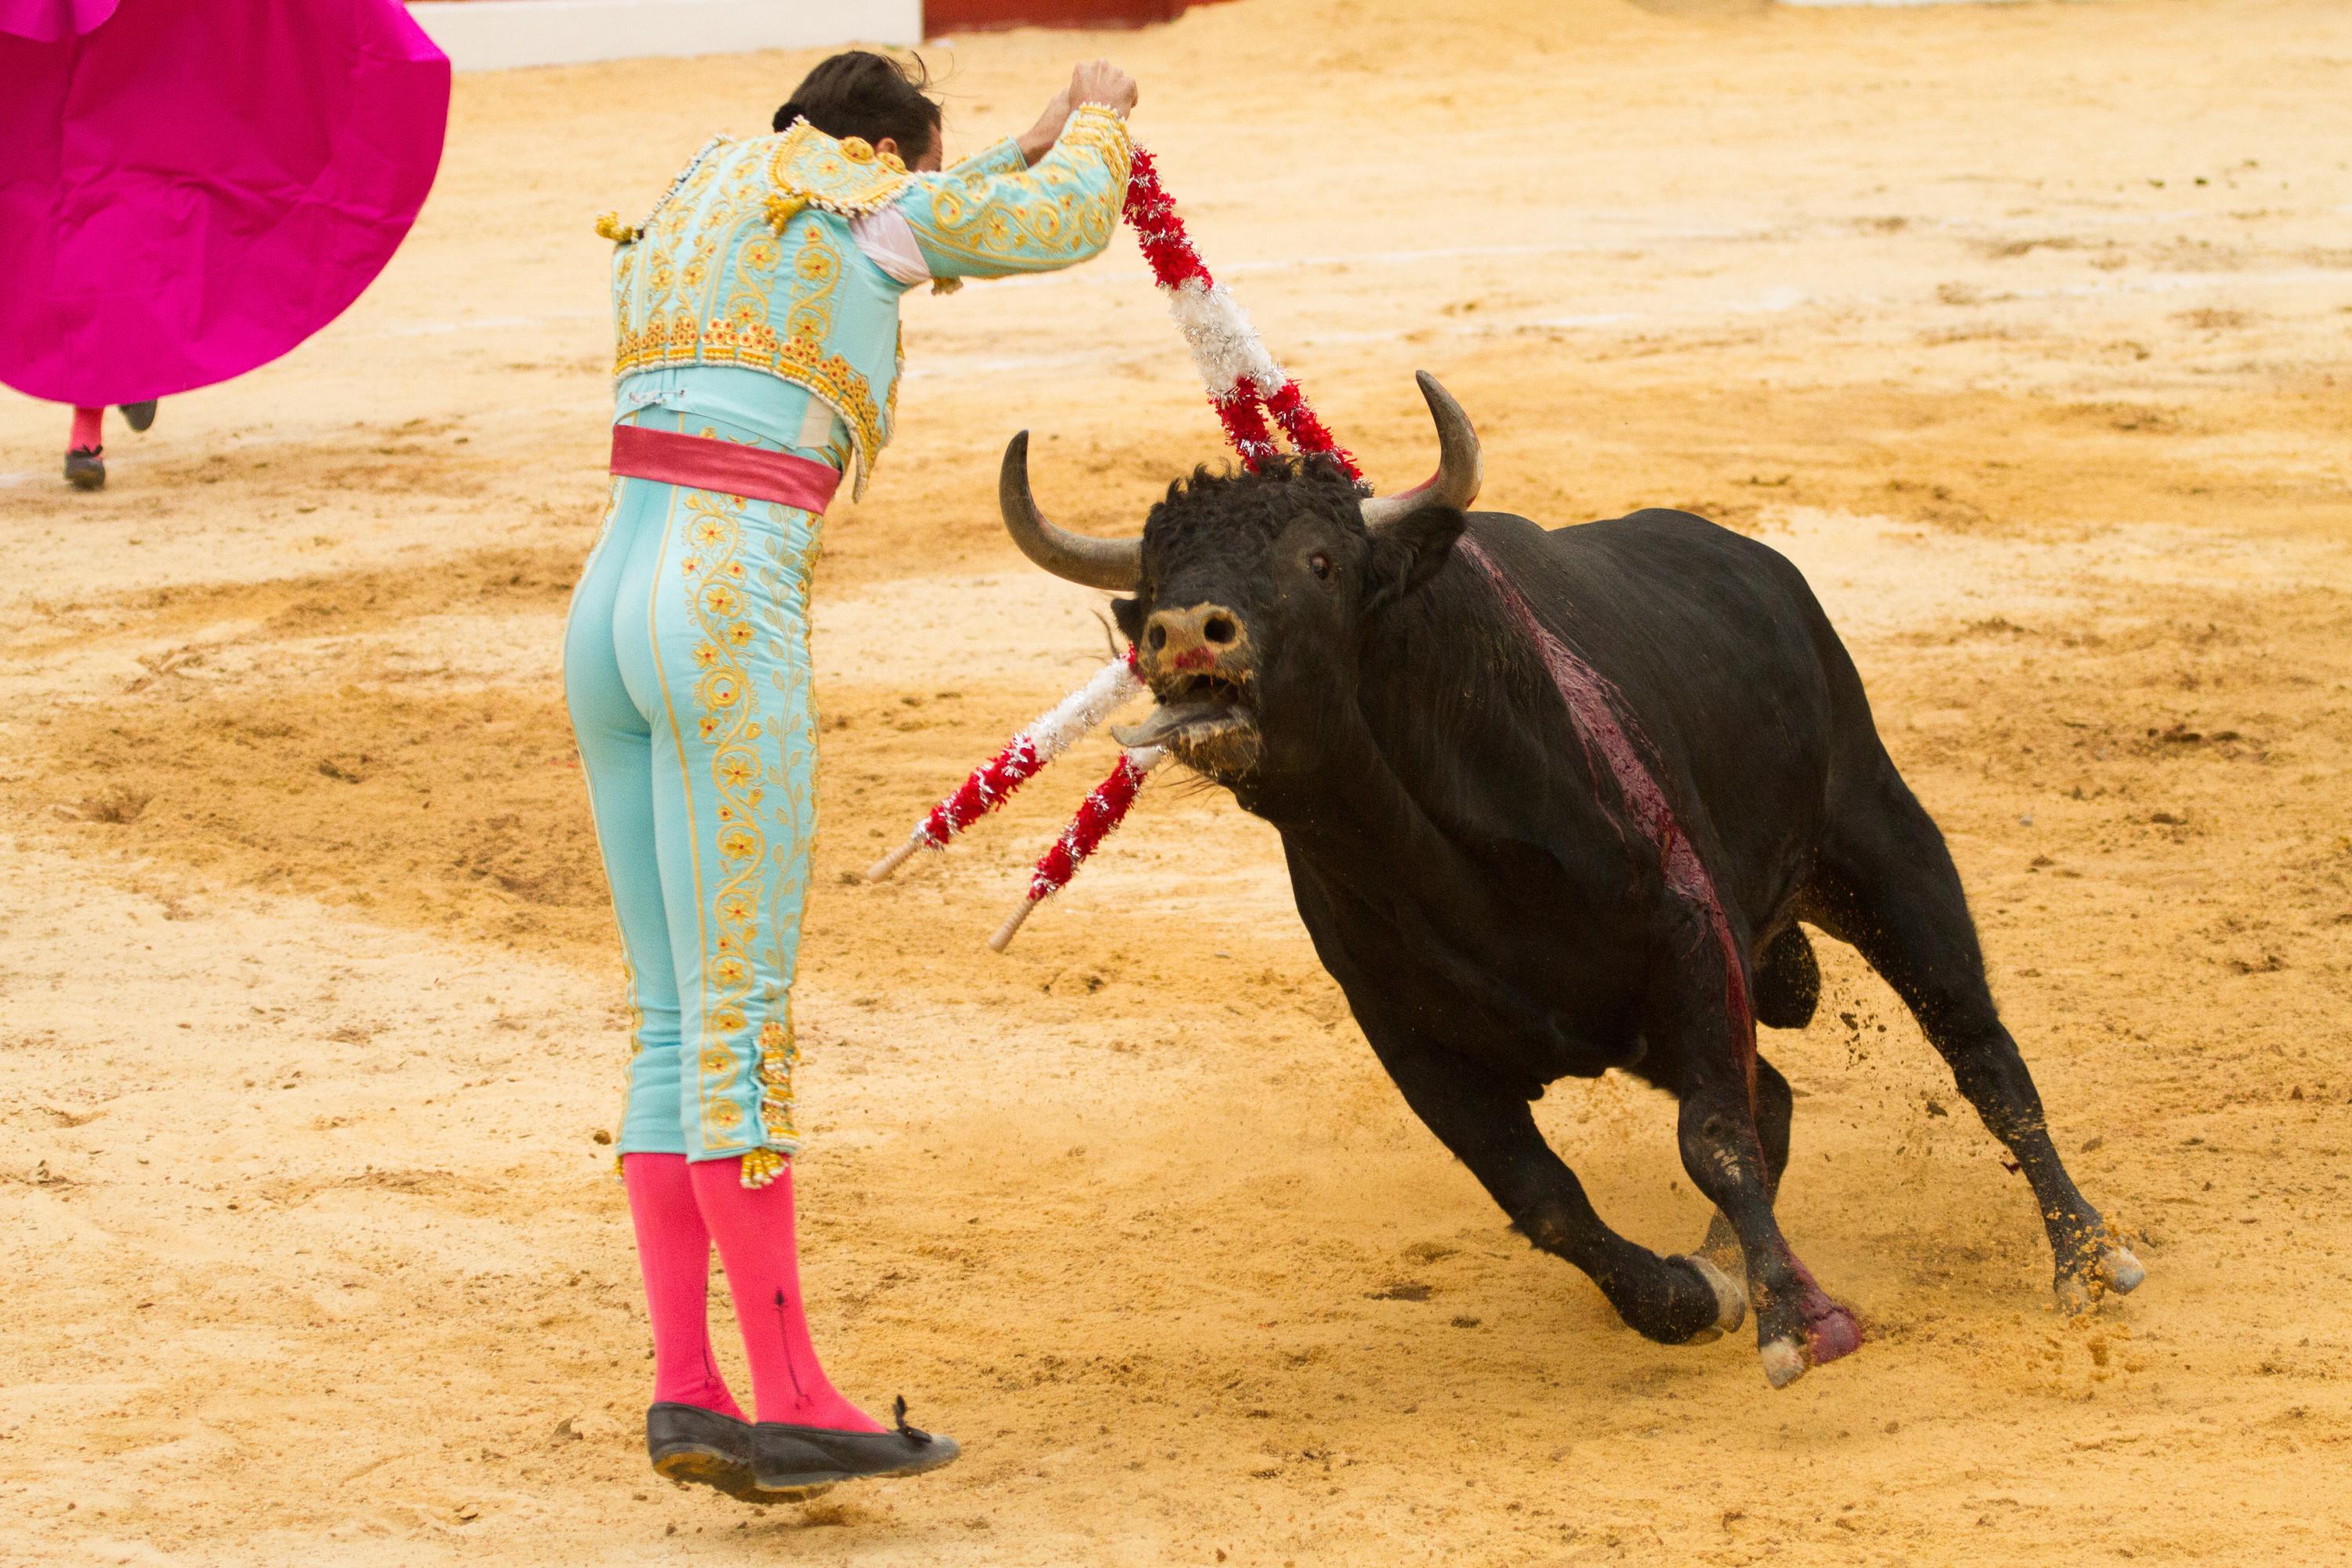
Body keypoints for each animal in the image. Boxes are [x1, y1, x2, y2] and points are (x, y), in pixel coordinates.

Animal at [1002, 376, 2145, 1382]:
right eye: (1154, 588)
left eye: (1319, 561)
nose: (1187, 631)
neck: (1428, 848)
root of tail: (1763, 568)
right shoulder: (1413, 1042)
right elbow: (1544, 1197)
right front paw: (1699, 1294)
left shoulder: (1691, 943)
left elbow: (1715, 1139)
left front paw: (1798, 1323)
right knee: (1778, 1092)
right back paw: (1731, 1257)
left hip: (1884, 849)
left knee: (1982, 1056)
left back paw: (2086, 1258)